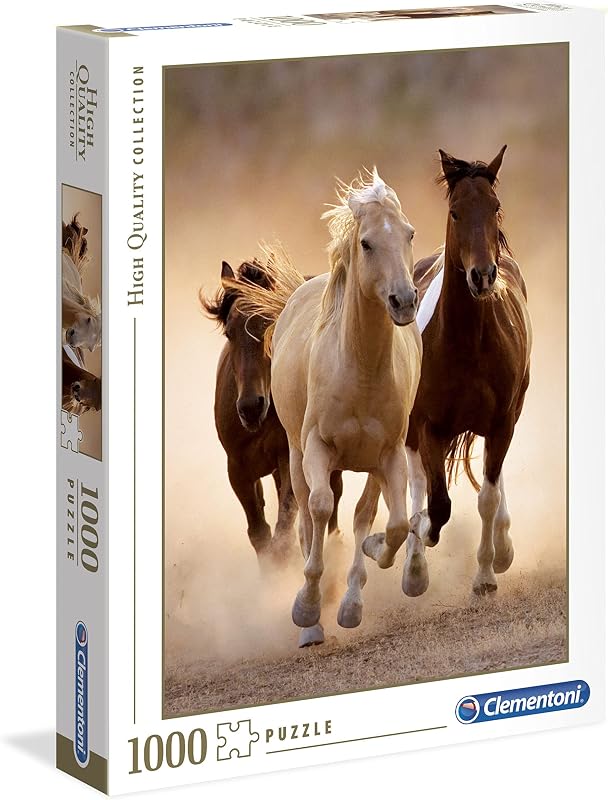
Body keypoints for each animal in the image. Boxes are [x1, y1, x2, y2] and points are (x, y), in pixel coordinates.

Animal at [200, 253, 344, 573]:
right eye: (229, 332)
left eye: (271, 325)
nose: (251, 407)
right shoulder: (238, 469)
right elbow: (260, 534)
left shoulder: (288, 459)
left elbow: (283, 531)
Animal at [235, 170, 423, 645]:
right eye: (367, 243)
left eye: (409, 234)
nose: (404, 301)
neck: (360, 369)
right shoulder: (316, 449)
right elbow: (319, 510)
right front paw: (306, 608)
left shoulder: (389, 455)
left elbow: (390, 524)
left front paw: (359, 589)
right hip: (296, 456)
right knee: (306, 516)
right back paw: (312, 622)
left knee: (363, 515)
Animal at [366, 146, 531, 598]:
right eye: (455, 212)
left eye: (495, 207)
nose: (483, 276)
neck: (468, 343)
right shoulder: (429, 427)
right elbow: (437, 504)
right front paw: (413, 545)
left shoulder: (501, 423)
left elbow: (486, 497)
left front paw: (486, 574)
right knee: (418, 484)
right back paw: (413, 565)